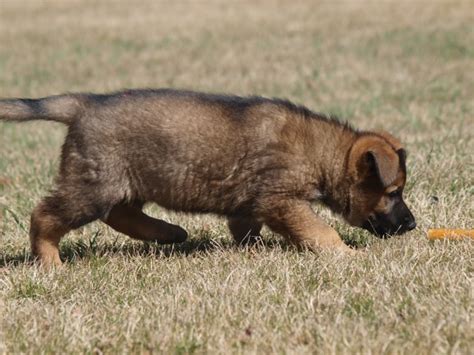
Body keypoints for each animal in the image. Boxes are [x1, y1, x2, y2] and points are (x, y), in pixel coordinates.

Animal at [0, 89, 414, 268]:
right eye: (394, 192)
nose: (411, 225)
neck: (323, 152)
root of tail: (84, 104)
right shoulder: (280, 200)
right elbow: (318, 230)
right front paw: (345, 253)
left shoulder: (249, 206)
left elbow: (246, 229)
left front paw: (252, 251)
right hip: (94, 186)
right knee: (45, 215)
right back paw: (49, 260)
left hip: (127, 180)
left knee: (121, 213)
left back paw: (167, 233)